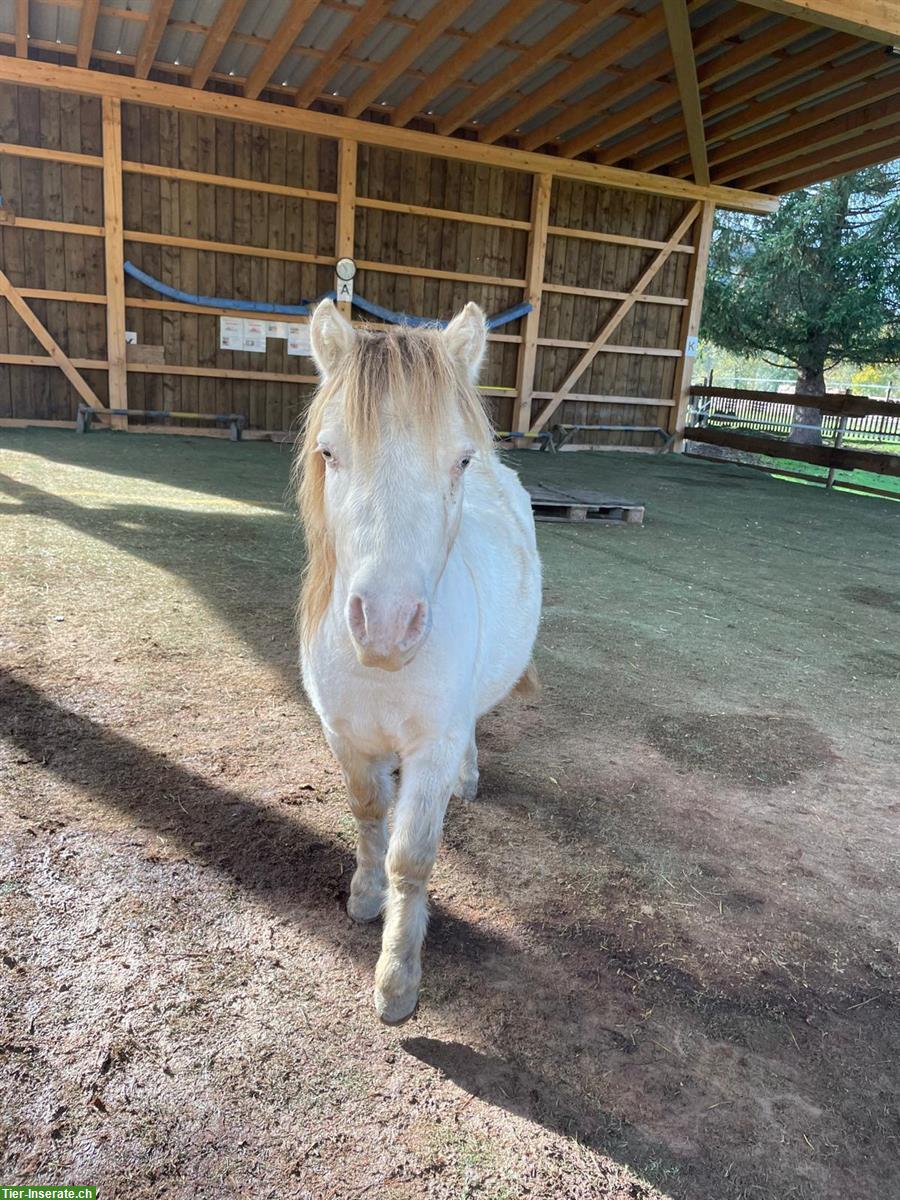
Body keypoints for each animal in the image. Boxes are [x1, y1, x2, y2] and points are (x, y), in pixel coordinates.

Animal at [296, 299, 542, 1023]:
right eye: (329, 452)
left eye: (459, 460)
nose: (385, 626)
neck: (382, 675)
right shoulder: (345, 737)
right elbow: (368, 815)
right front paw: (363, 897)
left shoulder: (432, 745)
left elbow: (411, 858)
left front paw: (397, 981)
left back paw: (469, 777)